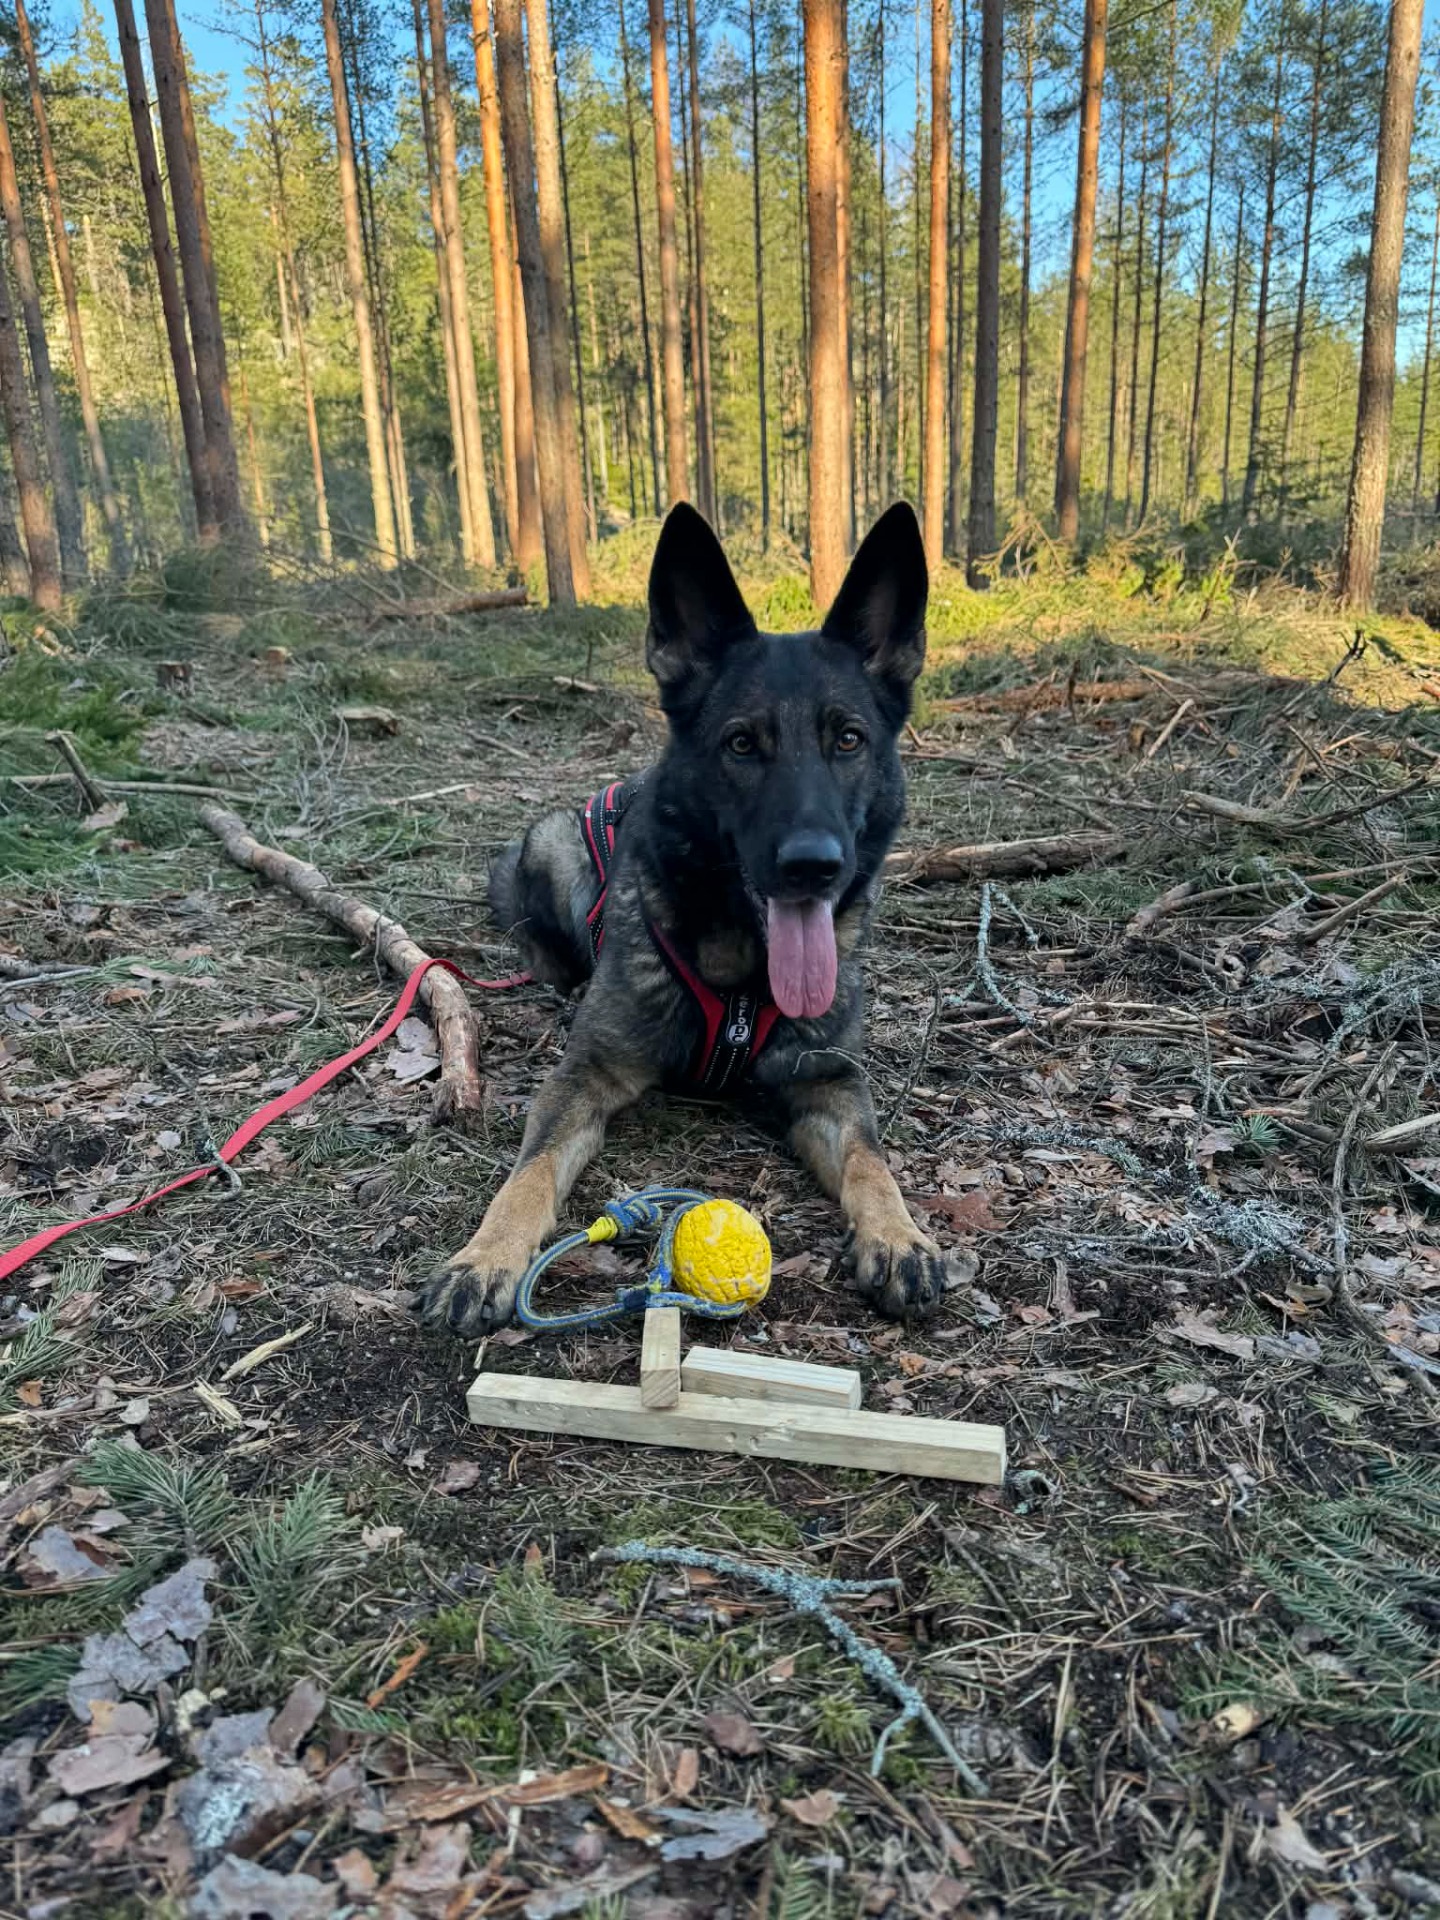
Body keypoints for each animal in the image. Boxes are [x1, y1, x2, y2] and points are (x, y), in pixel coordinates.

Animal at [419, 500, 946, 1336]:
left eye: (848, 740)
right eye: (741, 744)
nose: (814, 864)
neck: (742, 975)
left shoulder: (829, 1083)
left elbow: (872, 1160)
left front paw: (899, 1234)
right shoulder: (581, 1078)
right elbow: (528, 1173)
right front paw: (486, 1255)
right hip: (554, 846)